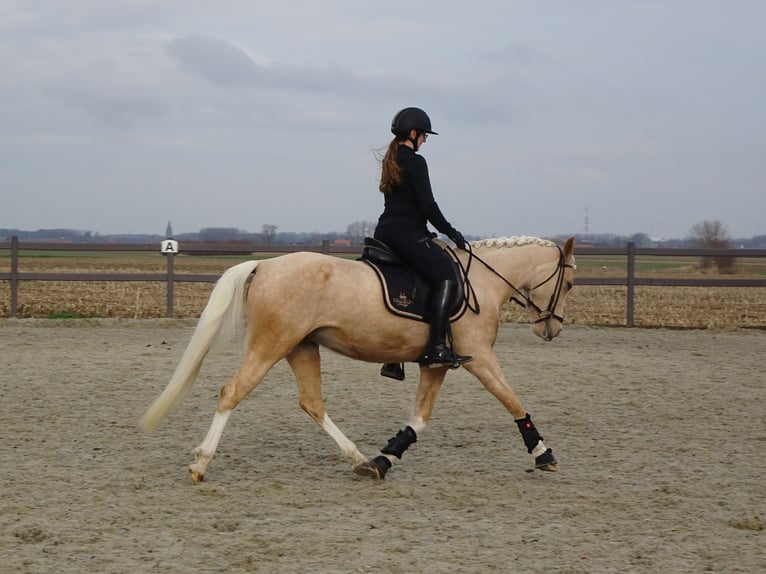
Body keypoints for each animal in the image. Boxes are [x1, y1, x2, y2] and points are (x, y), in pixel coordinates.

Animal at [142, 236, 576, 484]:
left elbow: (419, 418)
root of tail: (264, 264)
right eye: (569, 283)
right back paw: (201, 464)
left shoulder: (435, 363)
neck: (481, 282)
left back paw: (358, 457)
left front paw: (384, 459)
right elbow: (512, 400)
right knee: (233, 391)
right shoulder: (479, 357)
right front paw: (544, 454)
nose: (552, 329)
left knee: (312, 403)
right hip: (272, 344)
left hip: (301, 347)